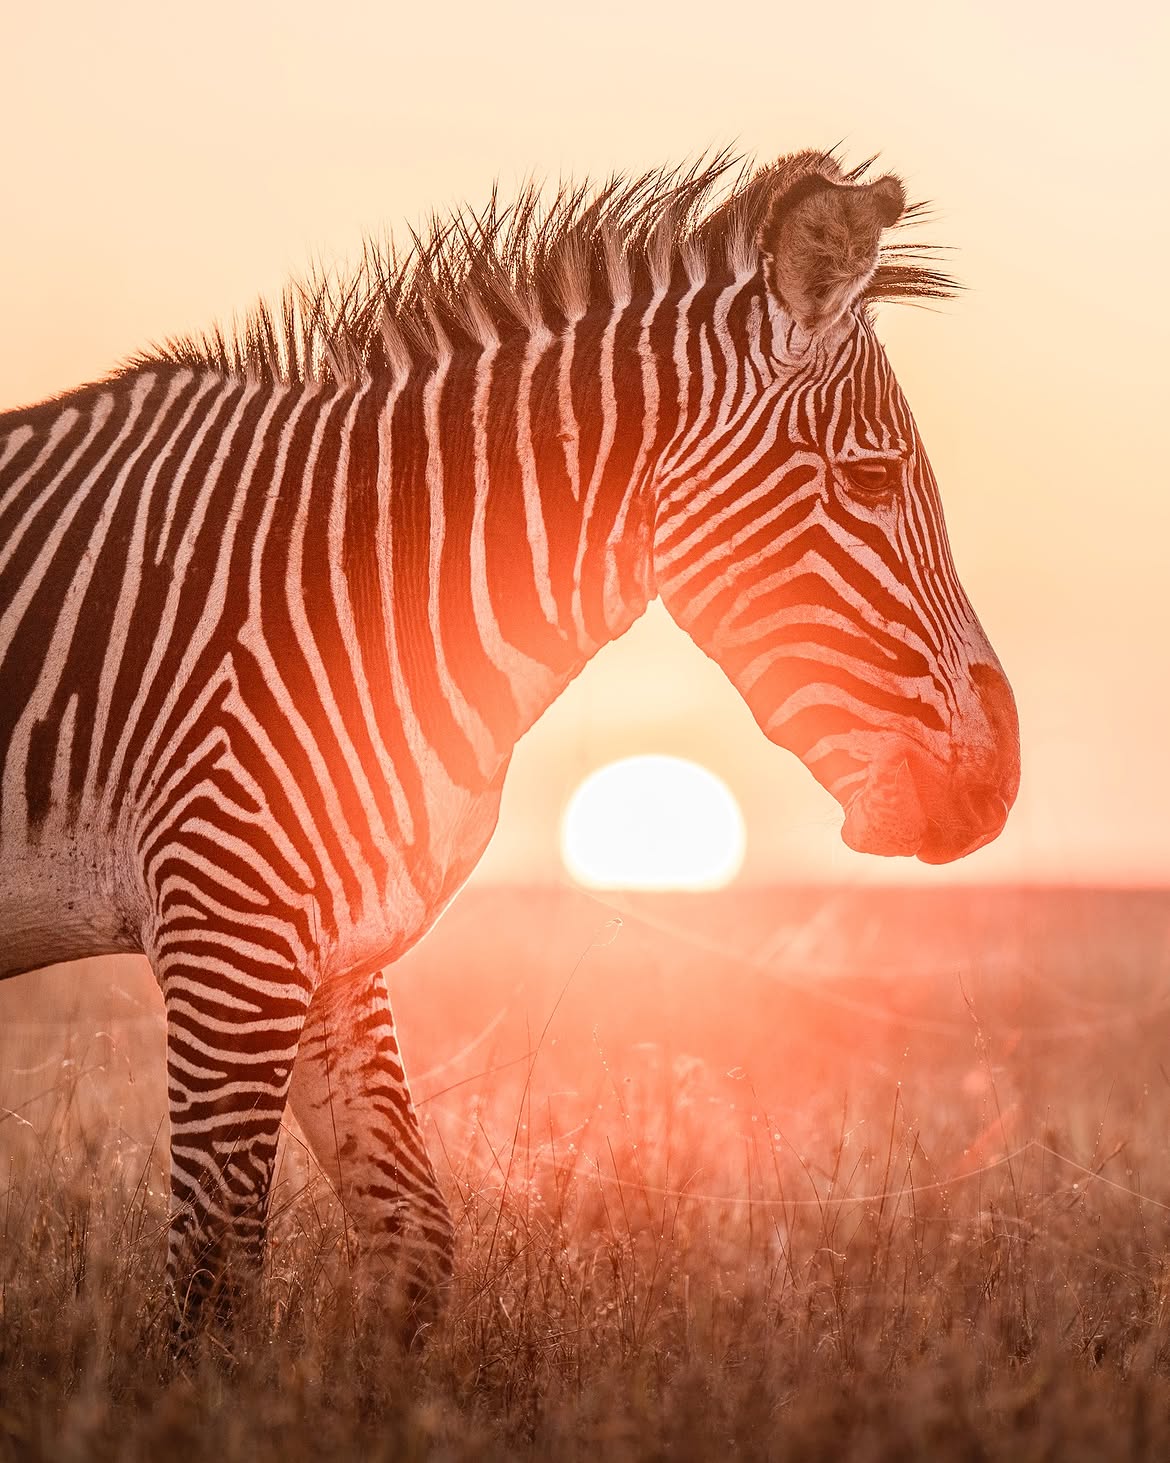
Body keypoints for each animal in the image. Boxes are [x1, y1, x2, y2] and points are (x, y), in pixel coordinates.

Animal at [0, 149, 1019, 1334]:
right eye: (869, 479)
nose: (1001, 781)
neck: (353, 593)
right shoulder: (227, 932)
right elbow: (213, 1276)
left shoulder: (331, 948)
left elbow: (417, 1239)